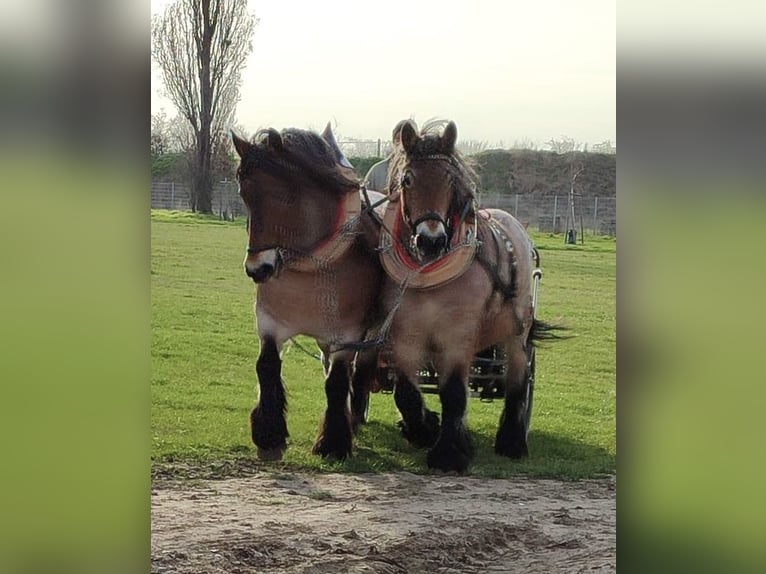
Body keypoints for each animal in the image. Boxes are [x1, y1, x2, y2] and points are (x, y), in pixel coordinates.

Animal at [230, 125, 382, 464]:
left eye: (284, 195)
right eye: (244, 195)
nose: (257, 269)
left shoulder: (347, 334)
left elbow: (337, 382)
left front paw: (333, 442)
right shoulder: (269, 322)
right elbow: (266, 366)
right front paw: (269, 435)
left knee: (358, 372)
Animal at [380, 119, 560, 474]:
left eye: (451, 180)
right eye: (408, 179)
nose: (431, 241)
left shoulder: (457, 335)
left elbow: (453, 393)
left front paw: (449, 452)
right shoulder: (405, 336)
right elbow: (406, 392)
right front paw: (424, 428)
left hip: (517, 333)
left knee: (518, 379)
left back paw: (512, 440)